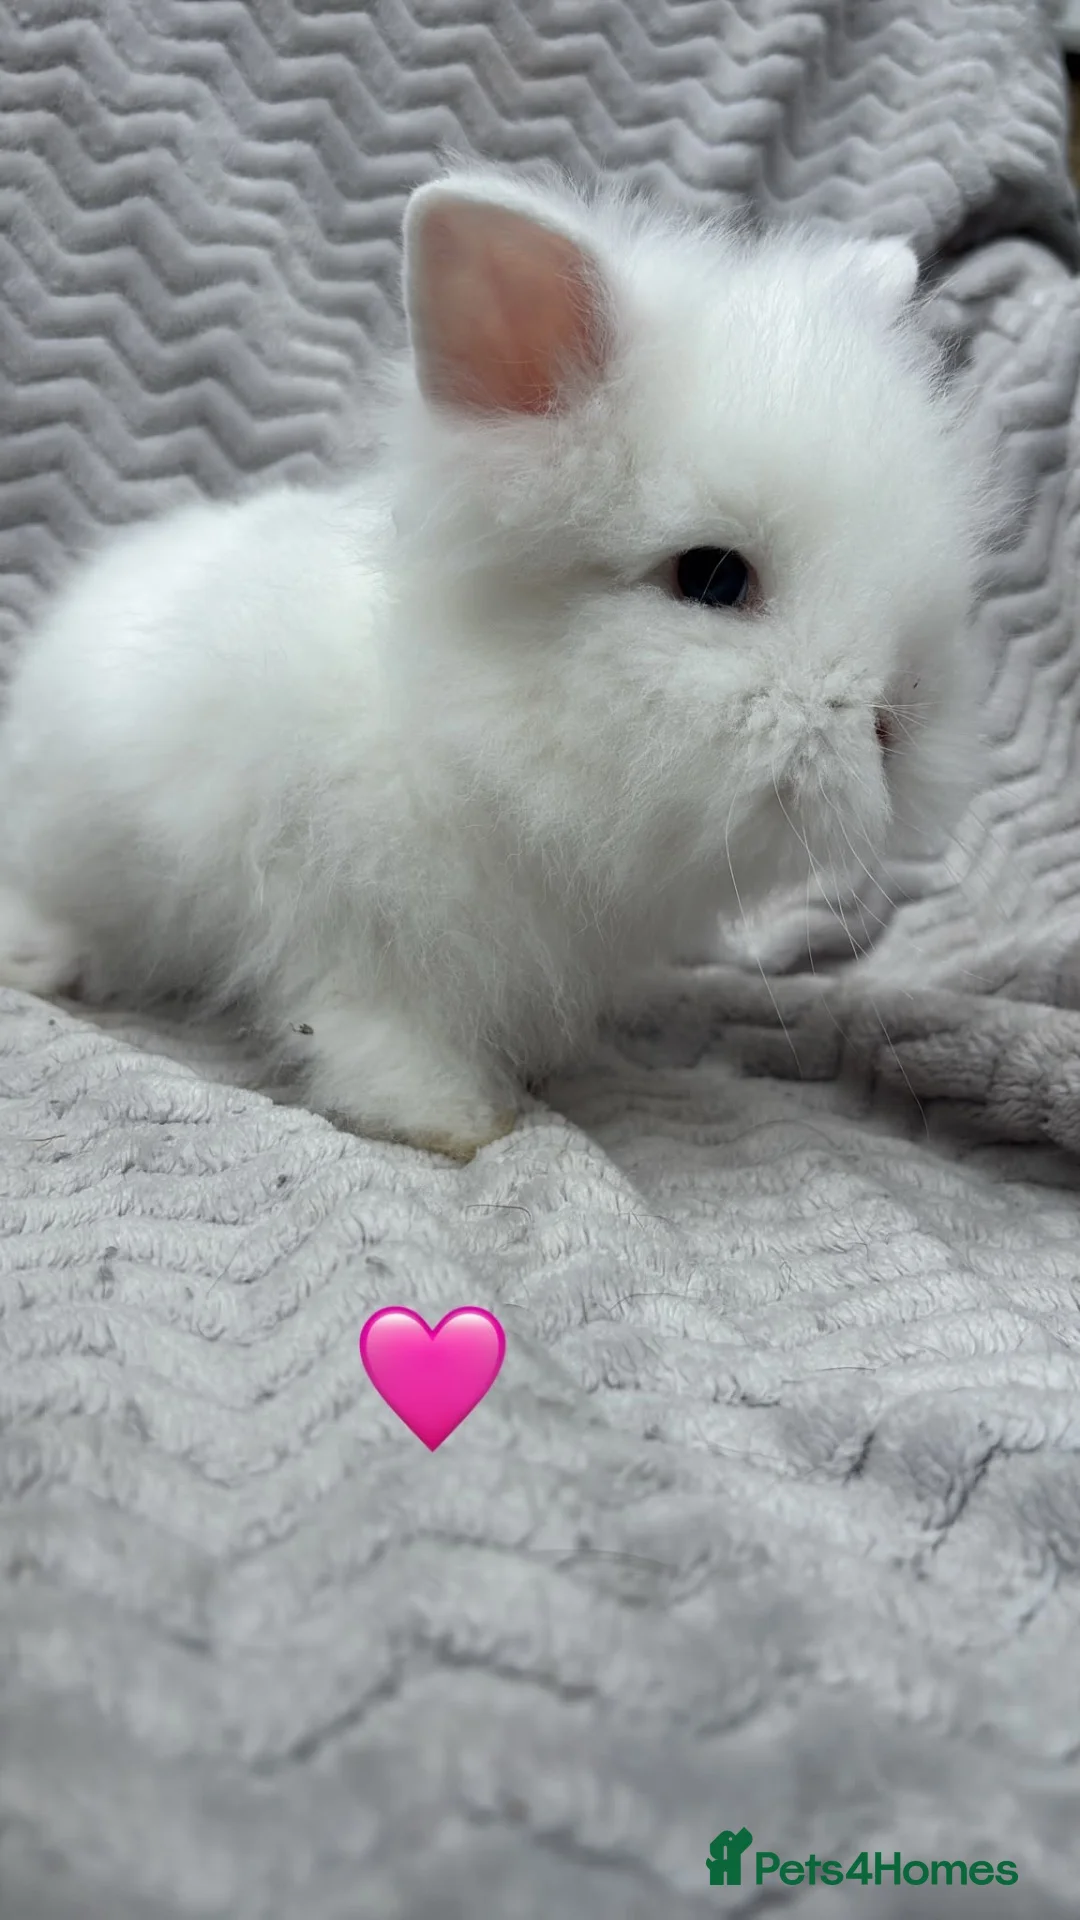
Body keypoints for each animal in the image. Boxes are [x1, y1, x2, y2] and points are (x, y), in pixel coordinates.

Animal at [0, 164, 985, 1160]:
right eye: (713, 577)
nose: (897, 726)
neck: (482, 733)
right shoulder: (362, 935)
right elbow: (377, 1036)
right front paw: (461, 1123)